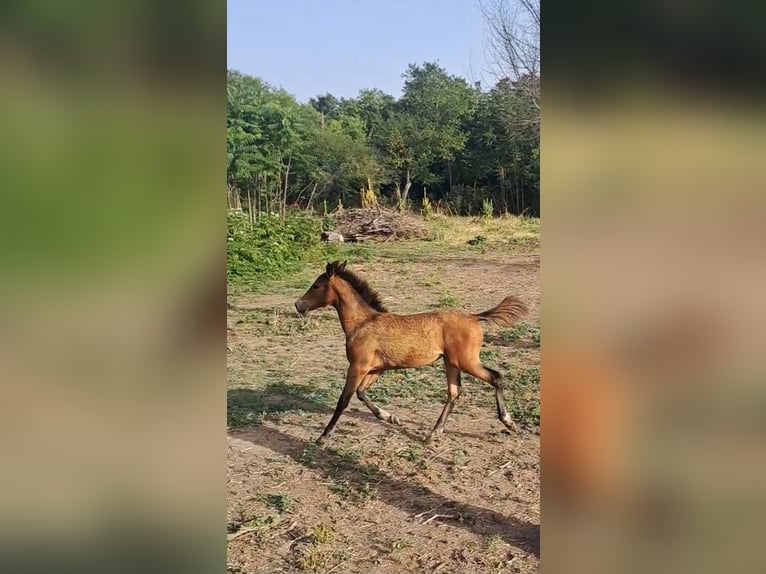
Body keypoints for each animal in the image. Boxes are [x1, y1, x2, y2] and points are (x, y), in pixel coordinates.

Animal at [294, 260, 528, 446]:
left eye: (316, 285)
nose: (298, 305)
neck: (362, 323)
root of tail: (474, 316)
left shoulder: (358, 366)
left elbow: (344, 399)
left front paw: (323, 436)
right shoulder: (376, 368)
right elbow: (361, 393)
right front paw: (390, 417)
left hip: (466, 361)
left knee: (495, 377)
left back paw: (509, 422)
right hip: (451, 362)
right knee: (454, 392)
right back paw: (433, 434)